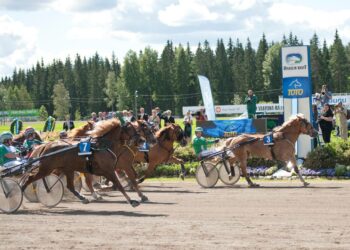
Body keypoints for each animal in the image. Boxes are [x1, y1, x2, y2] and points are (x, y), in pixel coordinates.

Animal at [20, 119, 153, 207]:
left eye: (138, 129)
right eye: (131, 129)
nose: (142, 140)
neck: (104, 146)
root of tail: (46, 146)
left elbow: (128, 179)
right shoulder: (110, 170)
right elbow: (120, 184)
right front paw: (133, 200)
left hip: (66, 169)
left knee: (69, 185)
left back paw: (82, 198)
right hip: (47, 168)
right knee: (30, 178)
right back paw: (21, 191)